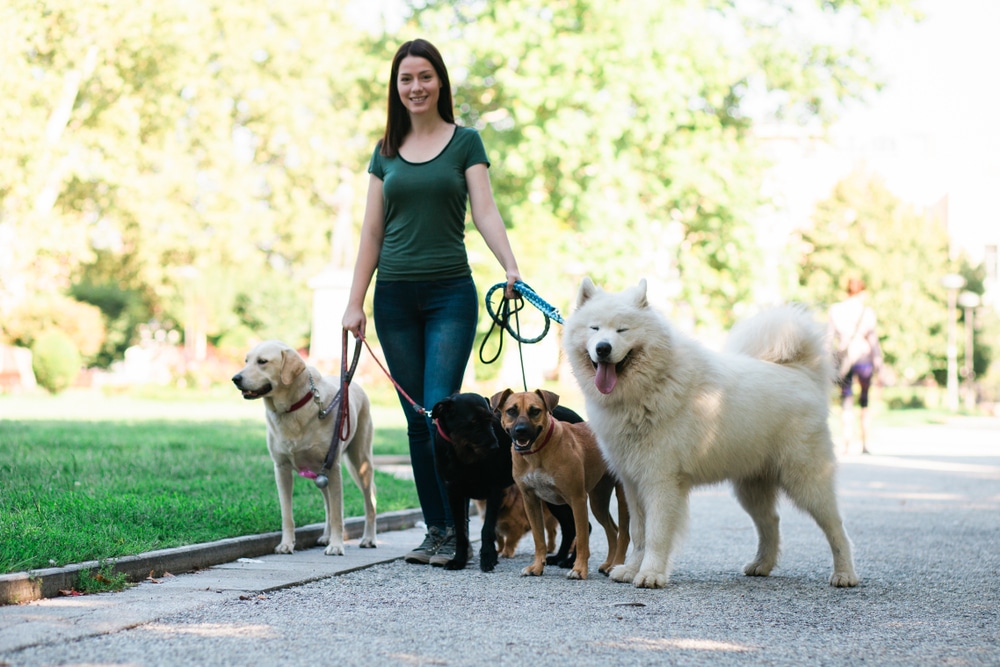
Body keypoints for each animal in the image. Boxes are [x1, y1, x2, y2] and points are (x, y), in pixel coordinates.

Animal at [428, 394, 580, 572]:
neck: (465, 454)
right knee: (569, 527)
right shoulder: (454, 493)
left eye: (490, 420)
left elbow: (487, 529)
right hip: (553, 496)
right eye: (473, 422)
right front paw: (459, 560)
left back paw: (571, 561)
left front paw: (488, 557)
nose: (496, 446)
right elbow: (460, 531)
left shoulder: (494, 491)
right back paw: (560, 558)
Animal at [490, 388, 628, 580]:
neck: (537, 453)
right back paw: (609, 564)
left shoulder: (577, 499)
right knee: (612, 530)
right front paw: (536, 567)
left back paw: (616, 565)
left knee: (624, 534)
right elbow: (539, 539)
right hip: (598, 500)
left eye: (535, 411)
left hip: (622, 498)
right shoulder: (530, 500)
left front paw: (579, 569)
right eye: (511, 411)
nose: (521, 430)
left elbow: (582, 539)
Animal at [568, 276, 856, 588]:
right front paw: (631, 570)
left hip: (806, 481)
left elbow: (656, 535)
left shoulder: (661, 481)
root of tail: (801, 373)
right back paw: (761, 565)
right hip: (750, 487)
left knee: (836, 527)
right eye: (594, 328)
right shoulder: (633, 484)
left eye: (623, 329)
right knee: (771, 523)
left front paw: (650, 575)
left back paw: (845, 574)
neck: (649, 387)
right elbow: (638, 534)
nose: (603, 348)